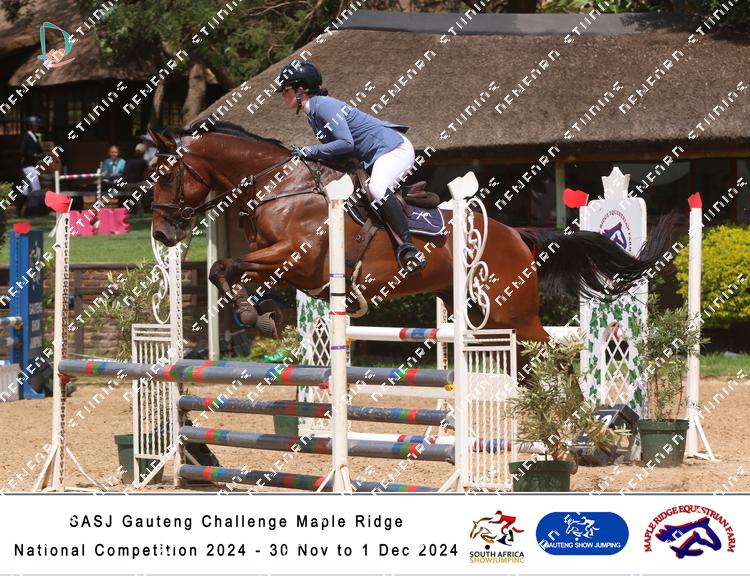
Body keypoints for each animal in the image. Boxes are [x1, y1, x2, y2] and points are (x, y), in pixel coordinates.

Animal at [147, 121, 673, 349]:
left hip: (512, 311)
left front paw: (255, 317)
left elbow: (228, 265)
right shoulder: (281, 263)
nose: (162, 232)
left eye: (165, 175)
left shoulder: (296, 257)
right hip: (480, 312)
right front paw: (262, 316)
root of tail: (519, 235)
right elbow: (225, 270)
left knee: (547, 351)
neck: (280, 186)